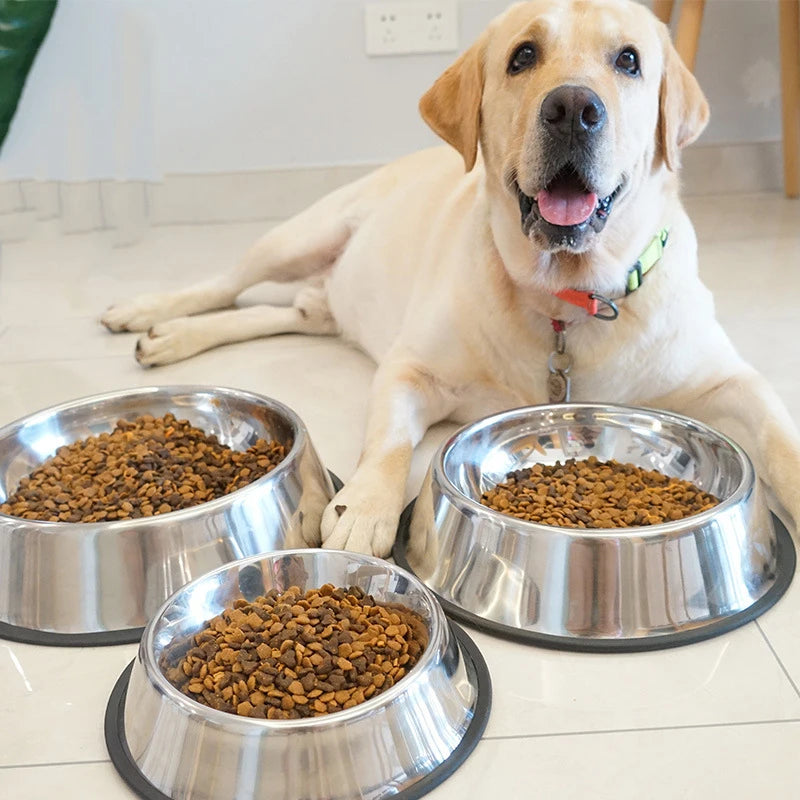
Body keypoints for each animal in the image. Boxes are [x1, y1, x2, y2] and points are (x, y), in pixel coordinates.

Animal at [101, 0, 800, 556]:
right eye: (523, 56)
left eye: (628, 60)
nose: (573, 107)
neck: (567, 296)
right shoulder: (410, 370)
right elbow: (387, 444)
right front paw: (363, 510)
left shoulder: (728, 377)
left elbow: (777, 434)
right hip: (301, 236)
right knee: (226, 284)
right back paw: (153, 319)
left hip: (319, 300)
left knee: (279, 312)